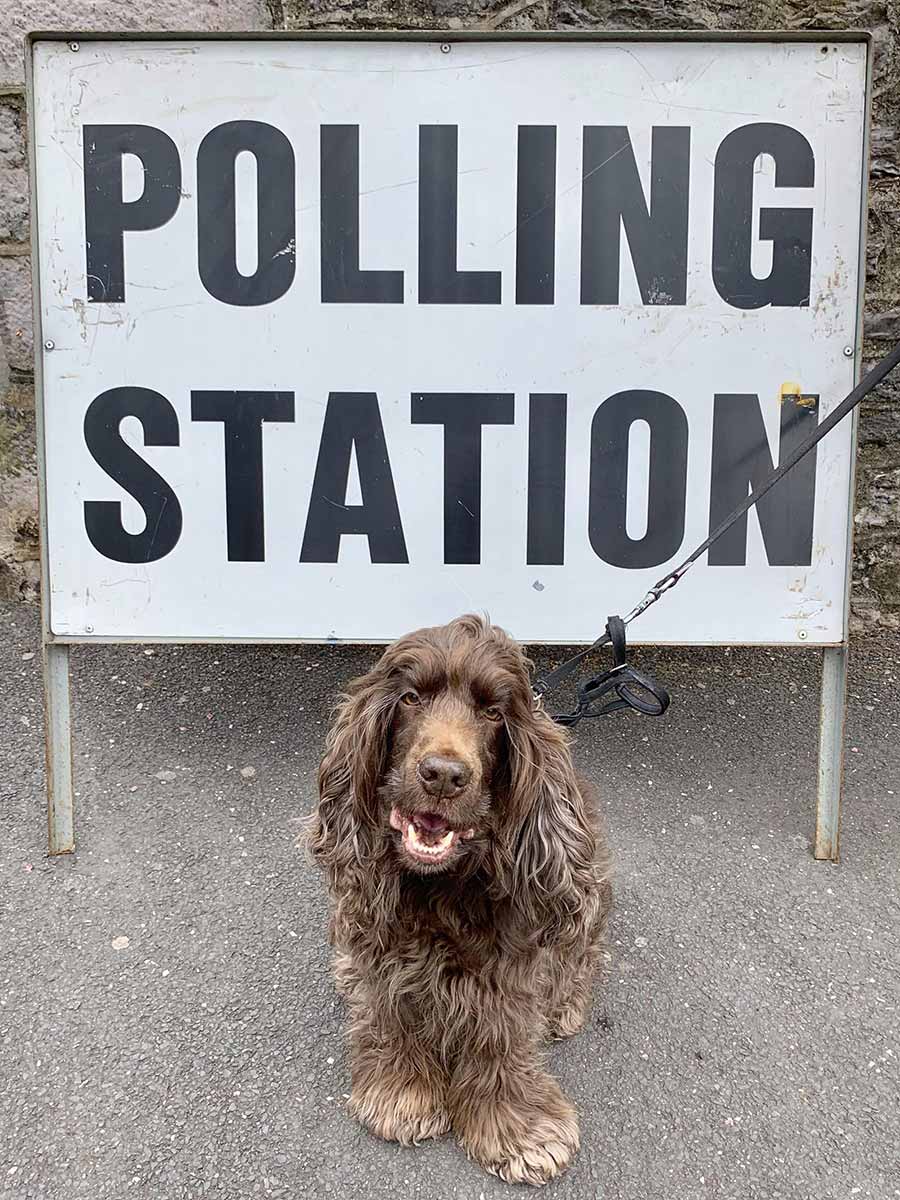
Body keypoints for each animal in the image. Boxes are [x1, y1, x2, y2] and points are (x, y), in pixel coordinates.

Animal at [309, 614, 614, 1185]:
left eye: (493, 711)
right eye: (411, 697)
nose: (444, 776)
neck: (442, 885)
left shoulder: (511, 962)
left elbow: (501, 1035)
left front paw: (517, 1128)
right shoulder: (383, 945)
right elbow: (391, 1010)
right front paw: (401, 1091)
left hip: (587, 891)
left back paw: (564, 1006)